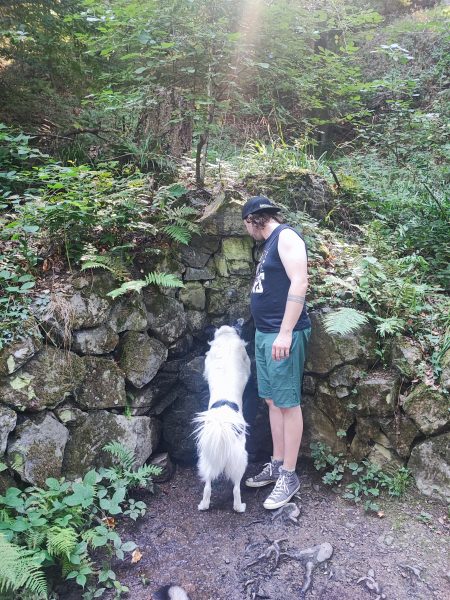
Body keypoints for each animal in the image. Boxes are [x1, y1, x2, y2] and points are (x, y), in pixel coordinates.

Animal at [193, 325, 251, 513]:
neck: (226, 338)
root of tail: (222, 423)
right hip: (240, 459)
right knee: (236, 488)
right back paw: (239, 507)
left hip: (207, 458)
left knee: (207, 486)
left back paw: (204, 505)